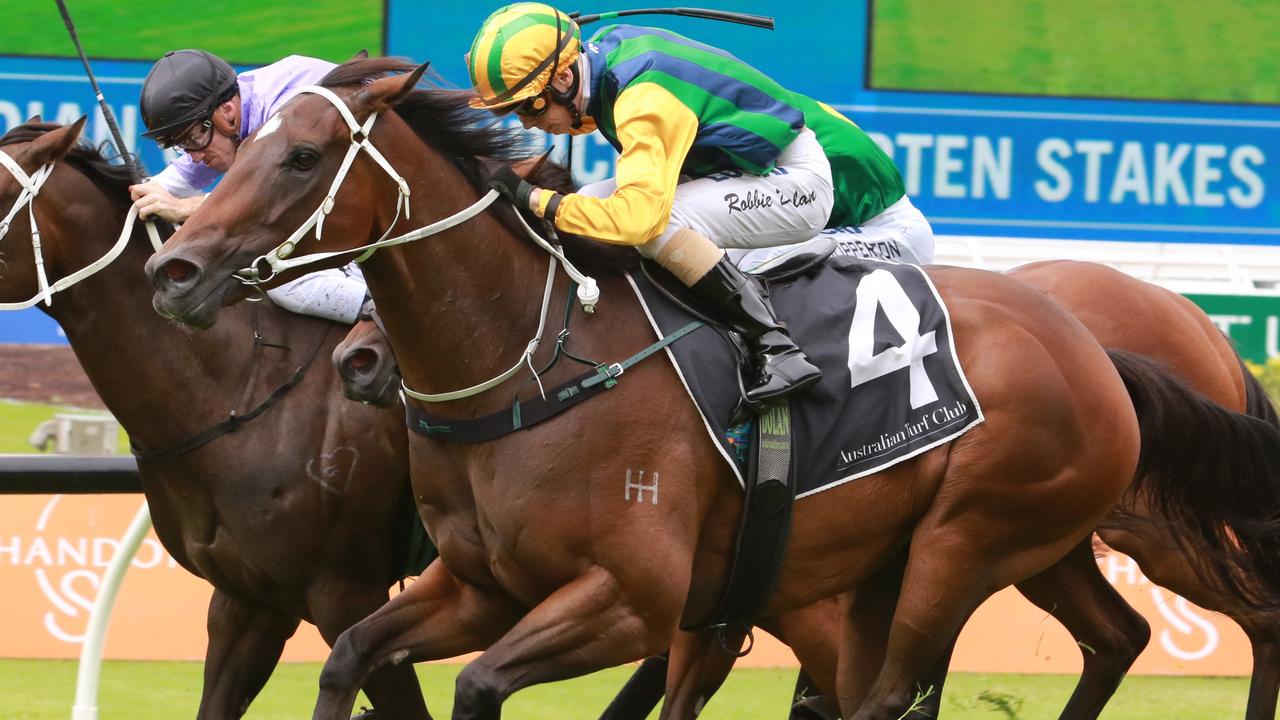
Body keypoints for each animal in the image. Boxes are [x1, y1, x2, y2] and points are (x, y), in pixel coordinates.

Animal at [140, 57, 1269, 717]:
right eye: (238, 150)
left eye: (303, 156)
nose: (175, 270)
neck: (540, 360)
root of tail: (1097, 349)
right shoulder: (473, 587)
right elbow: (351, 660)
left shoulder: (632, 599)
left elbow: (477, 686)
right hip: (984, 553)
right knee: (1108, 638)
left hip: (970, 544)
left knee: (890, 695)